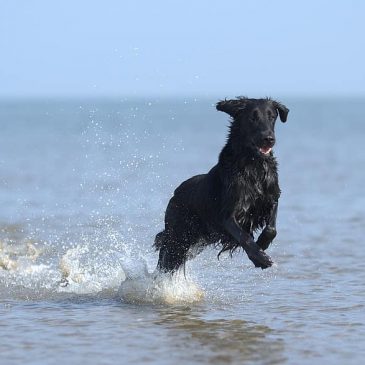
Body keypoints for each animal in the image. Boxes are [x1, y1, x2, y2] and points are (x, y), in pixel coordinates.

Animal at [154, 98, 288, 272]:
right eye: (253, 118)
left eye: (272, 117)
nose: (269, 138)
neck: (253, 165)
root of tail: (175, 193)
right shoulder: (228, 215)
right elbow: (244, 237)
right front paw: (260, 259)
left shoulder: (271, 198)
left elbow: (272, 229)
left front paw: (262, 244)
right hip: (177, 238)